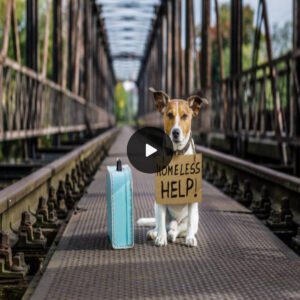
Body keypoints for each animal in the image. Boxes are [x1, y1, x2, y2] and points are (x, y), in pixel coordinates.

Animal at [137, 86, 207, 246]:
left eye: (185, 116)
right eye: (169, 114)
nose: (175, 132)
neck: (176, 154)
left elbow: (188, 225)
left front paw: (189, 239)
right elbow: (161, 221)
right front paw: (160, 238)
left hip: (194, 218)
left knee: (179, 228)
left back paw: (174, 234)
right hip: (156, 205)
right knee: (162, 223)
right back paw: (155, 232)